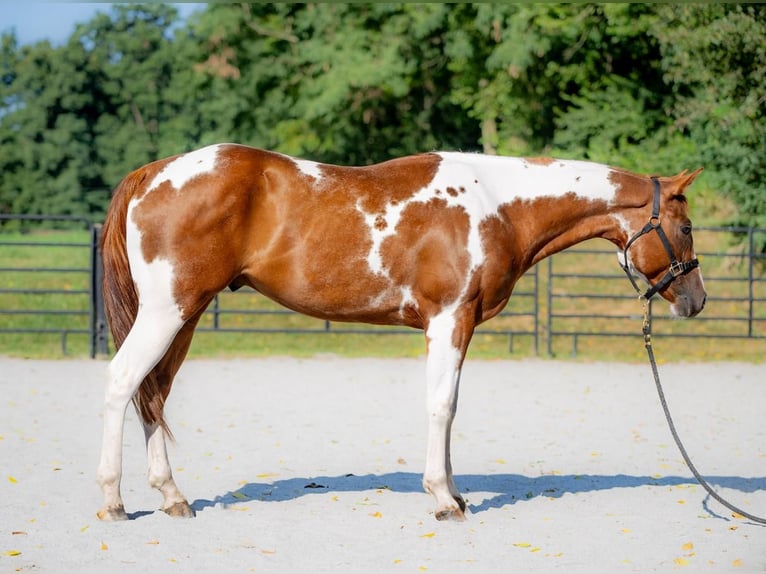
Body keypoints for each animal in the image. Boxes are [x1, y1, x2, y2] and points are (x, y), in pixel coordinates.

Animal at [96, 144, 708, 520]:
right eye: (685, 226)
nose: (697, 300)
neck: (497, 205)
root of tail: (153, 173)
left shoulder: (454, 323)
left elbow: (449, 406)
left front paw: (455, 492)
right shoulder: (449, 319)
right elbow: (443, 405)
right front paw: (444, 499)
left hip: (186, 314)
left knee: (154, 394)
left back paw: (173, 497)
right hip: (167, 312)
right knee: (123, 383)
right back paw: (113, 501)